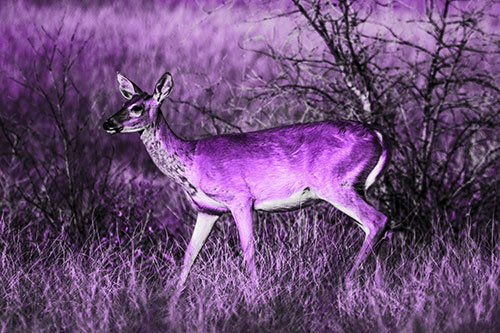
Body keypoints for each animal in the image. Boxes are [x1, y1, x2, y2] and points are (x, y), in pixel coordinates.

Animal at [101, 71, 390, 290]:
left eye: (137, 108)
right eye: (123, 103)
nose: (107, 123)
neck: (191, 162)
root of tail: (378, 136)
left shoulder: (240, 198)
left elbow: (248, 250)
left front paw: (254, 294)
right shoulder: (207, 209)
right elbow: (189, 255)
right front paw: (171, 301)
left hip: (336, 184)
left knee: (378, 220)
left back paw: (346, 282)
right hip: (352, 188)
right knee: (376, 227)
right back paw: (375, 288)